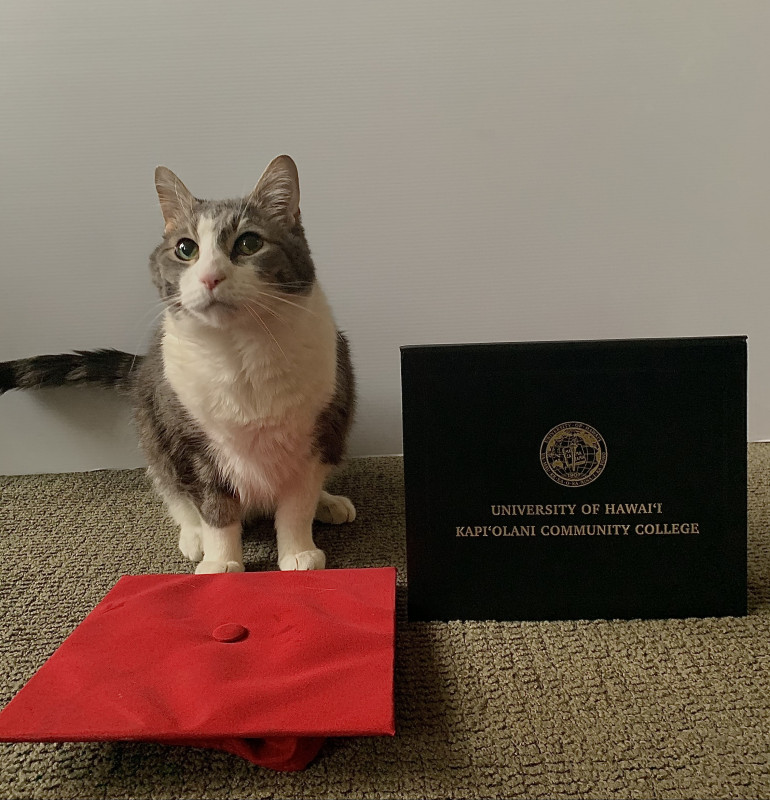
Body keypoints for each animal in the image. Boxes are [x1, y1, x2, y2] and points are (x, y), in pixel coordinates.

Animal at [0, 153, 354, 572]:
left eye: (249, 243)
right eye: (186, 249)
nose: (210, 277)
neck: (239, 356)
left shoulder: (318, 434)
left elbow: (297, 504)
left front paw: (298, 552)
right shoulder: (190, 445)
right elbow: (215, 508)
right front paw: (221, 561)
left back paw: (328, 503)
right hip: (153, 432)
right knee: (173, 492)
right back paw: (194, 536)